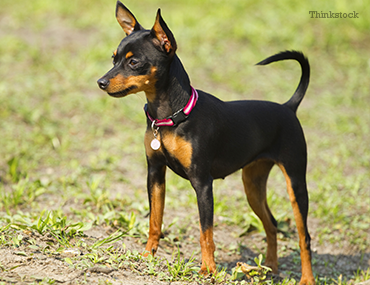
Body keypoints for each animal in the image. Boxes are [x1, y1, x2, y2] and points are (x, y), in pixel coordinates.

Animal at [97, 1, 316, 282]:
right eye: (114, 58)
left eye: (134, 62)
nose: (101, 82)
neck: (171, 116)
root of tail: (288, 107)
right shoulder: (155, 173)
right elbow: (155, 220)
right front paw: (147, 255)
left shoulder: (202, 183)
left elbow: (206, 232)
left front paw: (208, 269)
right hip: (252, 184)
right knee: (272, 223)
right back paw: (270, 267)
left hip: (295, 183)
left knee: (304, 236)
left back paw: (306, 278)